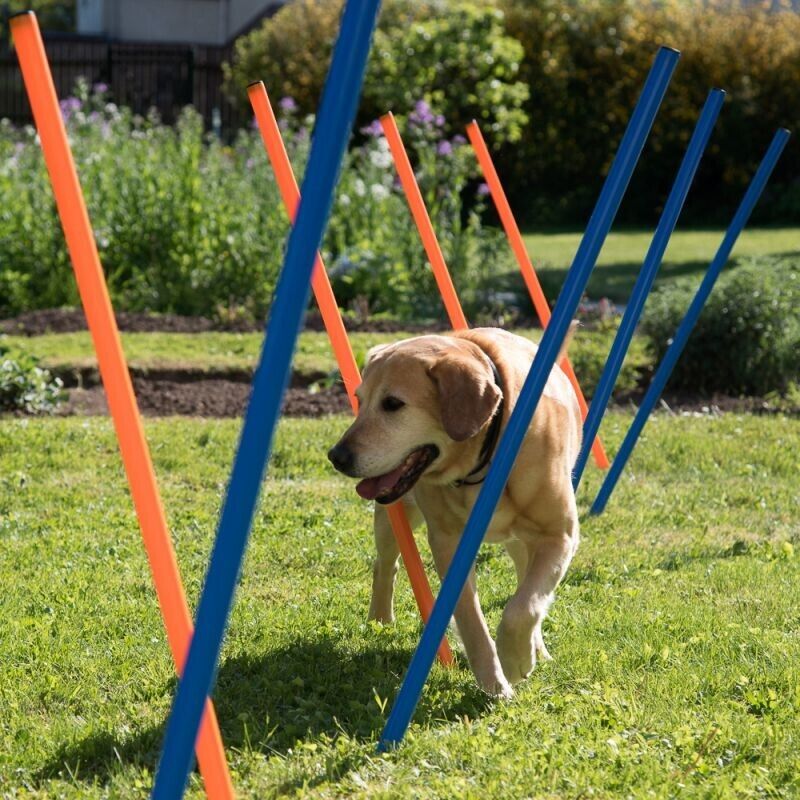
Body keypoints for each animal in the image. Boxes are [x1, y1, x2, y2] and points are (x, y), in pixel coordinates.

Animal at [326, 328, 580, 696]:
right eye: (360, 400)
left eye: (393, 404)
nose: (336, 457)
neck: (483, 458)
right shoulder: (448, 545)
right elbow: (472, 622)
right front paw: (496, 684)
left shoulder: (559, 536)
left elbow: (523, 607)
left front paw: (516, 659)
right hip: (392, 517)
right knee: (385, 564)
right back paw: (380, 620)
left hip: (524, 542)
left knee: (527, 585)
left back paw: (537, 649)